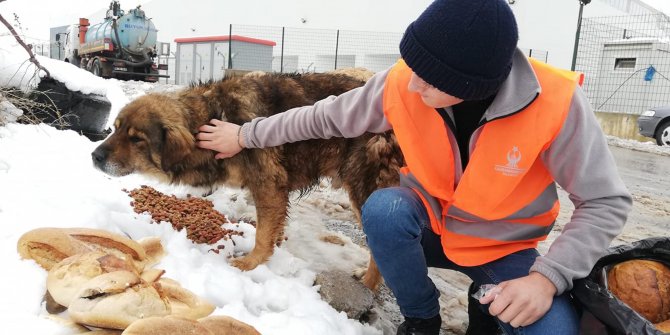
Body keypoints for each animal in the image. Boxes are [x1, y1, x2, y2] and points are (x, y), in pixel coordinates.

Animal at [90, 71, 404, 292]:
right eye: (115, 129)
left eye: (136, 139)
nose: (94, 155)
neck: (209, 117)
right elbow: (274, 229)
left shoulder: (268, 185)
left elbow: (263, 234)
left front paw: (251, 263)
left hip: (363, 191)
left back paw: (369, 283)